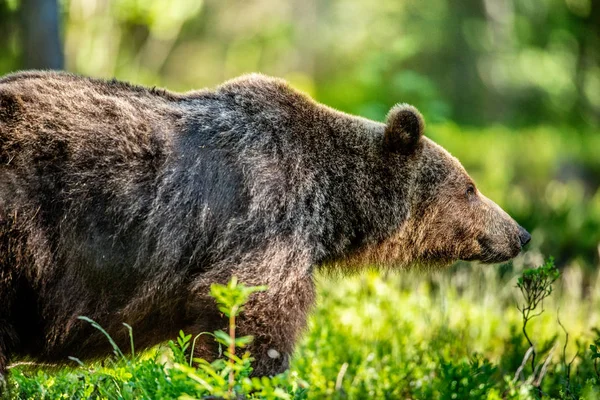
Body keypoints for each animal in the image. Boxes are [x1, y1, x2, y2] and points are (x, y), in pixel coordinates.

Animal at [0, 70, 528, 376]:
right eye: (470, 187)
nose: (519, 233)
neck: (330, 204)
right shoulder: (265, 223)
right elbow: (251, 323)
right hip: (25, 228)